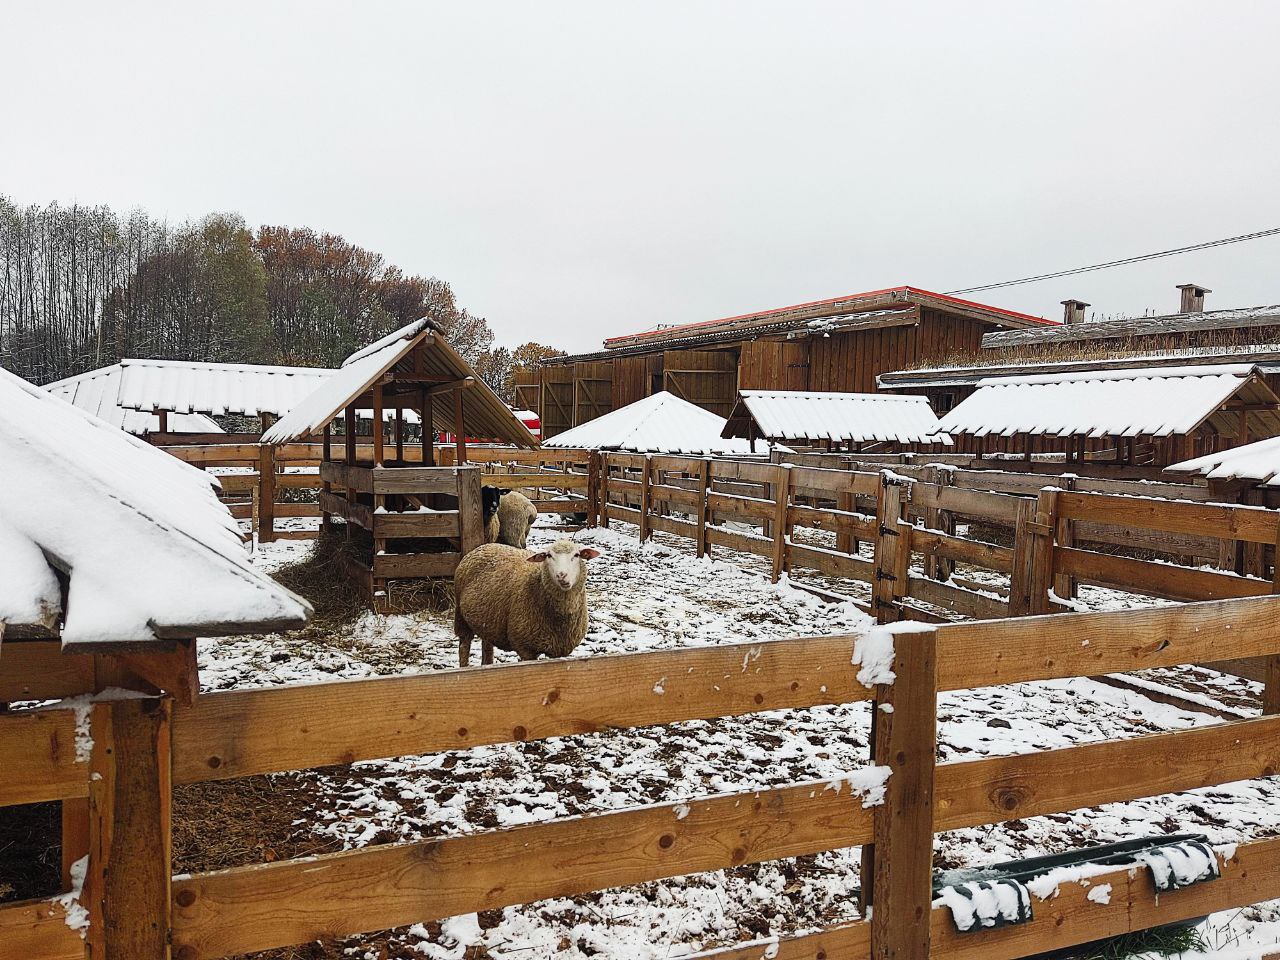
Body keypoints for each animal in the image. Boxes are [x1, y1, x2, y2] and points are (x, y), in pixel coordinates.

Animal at [453, 542, 601, 670]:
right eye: (548, 555)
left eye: (576, 555)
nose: (561, 575)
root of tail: (483, 546)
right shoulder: (525, 648)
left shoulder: (558, 650)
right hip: (461, 617)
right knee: (464, 645)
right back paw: (463, 668)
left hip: (488, 619)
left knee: (487, 644)